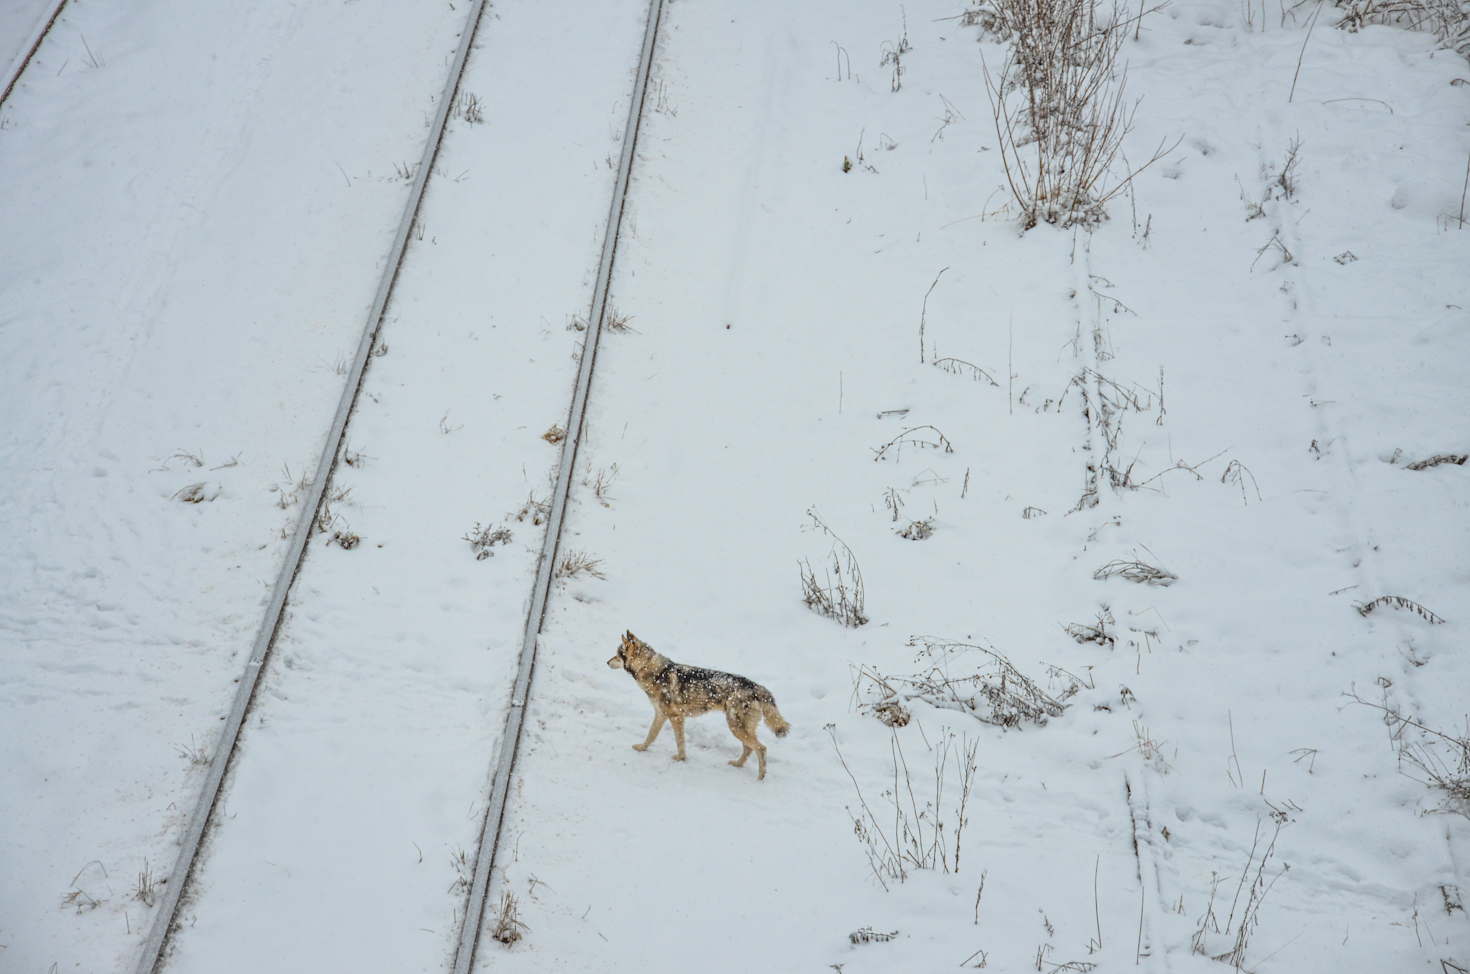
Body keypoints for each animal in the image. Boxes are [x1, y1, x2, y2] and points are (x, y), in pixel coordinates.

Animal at [608, 631, 793, 787]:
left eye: (617, 654)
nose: (606, 662)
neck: (654, 672)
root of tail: (757, 686)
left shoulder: (676, 717)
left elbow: (680, 742)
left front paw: (680, 758)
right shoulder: (661, 715)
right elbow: (650, 736)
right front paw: (642, 748)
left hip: (736, 727)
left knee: (761, 749)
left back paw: (760, 778)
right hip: (738, 728)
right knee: (749, 749)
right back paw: (737, 764)